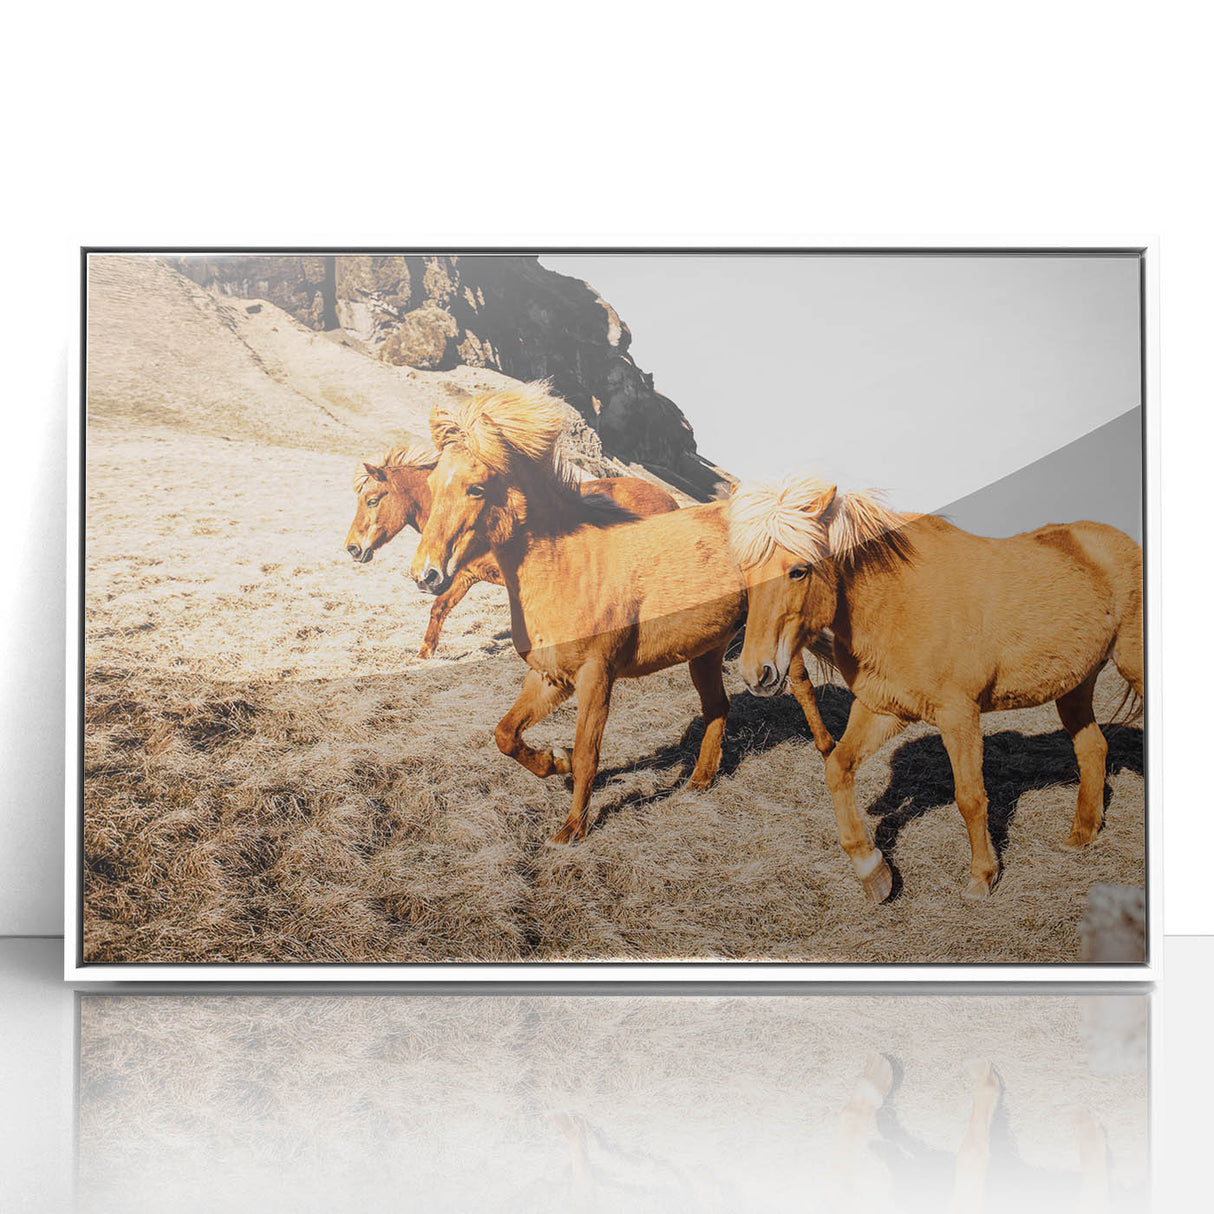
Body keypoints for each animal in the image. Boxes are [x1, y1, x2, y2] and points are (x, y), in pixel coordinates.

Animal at [346, 443, 680, 658]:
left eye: (372, 500)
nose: (352, 548)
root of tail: (670, 501)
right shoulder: (466, 575)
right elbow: (440, 607)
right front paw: (424, 654)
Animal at [409, 382, 837, 845]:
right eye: (431, 482)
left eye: (476, 488)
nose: (425, 574)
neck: (570, 567)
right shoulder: (549, 677)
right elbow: (506, 735)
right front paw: (554, 761)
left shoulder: (596, 676)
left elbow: (588, 753)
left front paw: (571, 829)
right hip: (705, 651)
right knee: (717, 707)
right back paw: (700, 781)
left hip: (773, 640)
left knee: (801, 686)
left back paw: (828, 750)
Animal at [728, 475, 1144, 903]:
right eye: (744, 572)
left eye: (798, 570)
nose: (756, 673)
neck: (898, 600)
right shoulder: (882, 709)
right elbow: (837, 768)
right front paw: (872, 870)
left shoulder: (959, 715)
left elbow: (970, 797)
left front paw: (982, 878)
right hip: (1074, 686)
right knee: (1093, 748)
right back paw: (1081, 835)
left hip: (1133, 665)